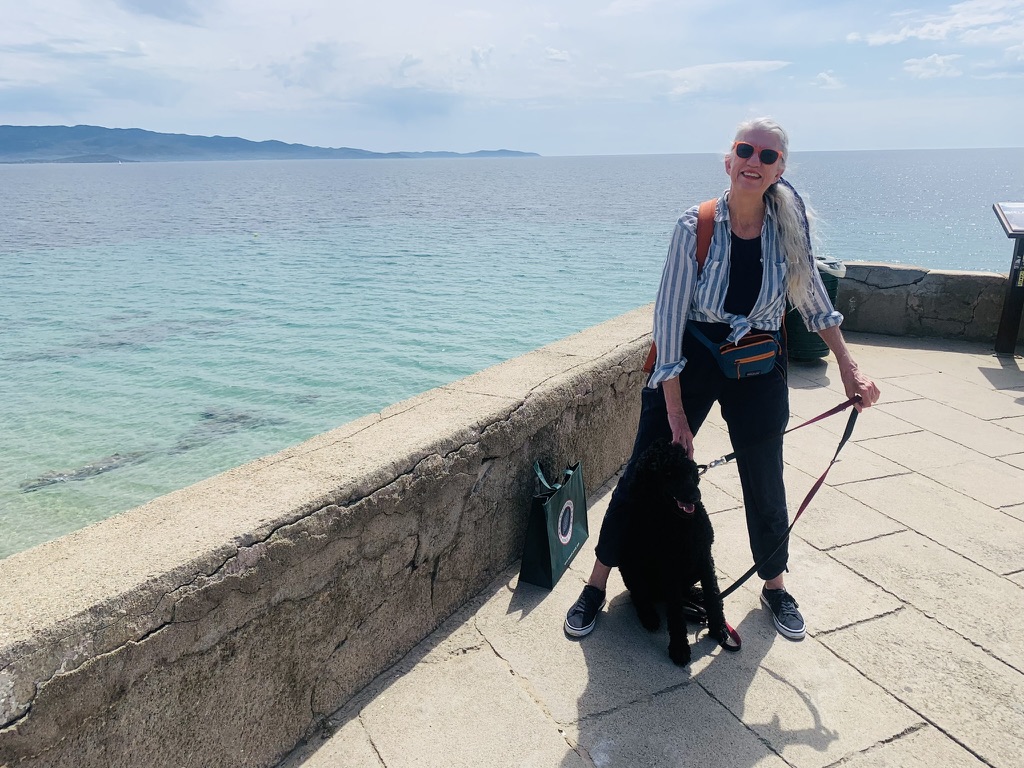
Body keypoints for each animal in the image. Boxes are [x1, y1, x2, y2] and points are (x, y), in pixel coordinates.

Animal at [618, 438, 738, 666]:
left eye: (690, 472)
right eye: (667, 473)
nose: (695, 496)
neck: (679, 522)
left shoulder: (704, 556)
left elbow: (713, 594)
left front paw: (718, 627)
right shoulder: (669, 569)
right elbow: (674, 612)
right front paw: (679, 648)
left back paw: (695, 595)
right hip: (630, 566)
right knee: (640, 595)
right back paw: (649, 616)